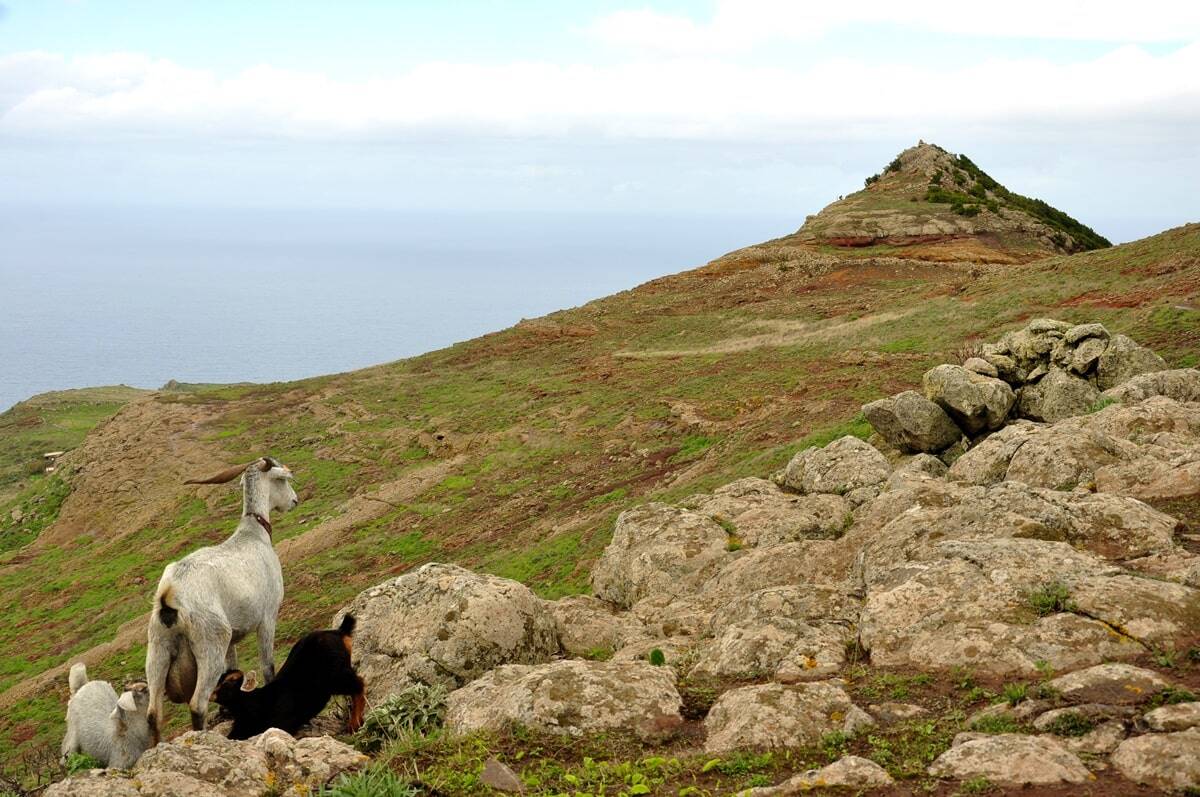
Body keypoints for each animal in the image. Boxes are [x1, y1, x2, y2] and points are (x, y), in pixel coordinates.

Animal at [143, 458, 300, 744]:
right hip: (210, 642)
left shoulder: (233, 638)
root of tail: (170, 594)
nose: (294, 500)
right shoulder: (268, 617)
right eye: (284, 479)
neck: (253, 535)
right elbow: (268, 665)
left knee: (153, 713)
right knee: (197, 704)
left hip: (158, 648)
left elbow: (233, 668)